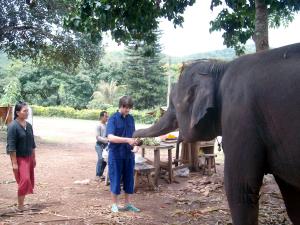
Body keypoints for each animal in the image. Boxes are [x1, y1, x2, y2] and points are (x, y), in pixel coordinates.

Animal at [135, 43, 300, 224]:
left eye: (173, 105)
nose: (136, 139)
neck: (219, 69)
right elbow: (293, 199)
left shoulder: (239, 118)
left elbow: (240, 188)